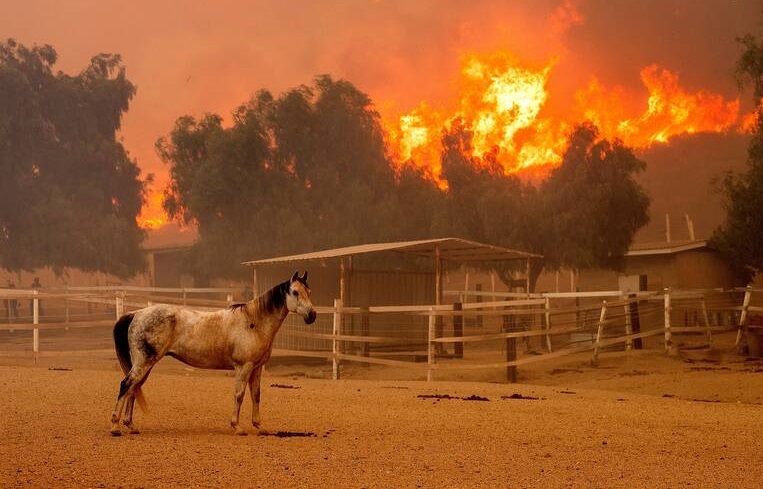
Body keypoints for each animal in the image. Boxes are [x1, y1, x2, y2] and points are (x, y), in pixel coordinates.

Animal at [109, 270, 316, 434]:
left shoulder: (256, 368)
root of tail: (136, 314)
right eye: (295, 292)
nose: (312, 315)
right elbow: (239, 395)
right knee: (126, 385)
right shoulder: (244, 367)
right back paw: (115, 427)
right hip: (143, 363)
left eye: (309, 292)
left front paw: (259, 426)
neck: (253, 322)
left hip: (145, 364)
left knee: (133, 388)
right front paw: (237, 427)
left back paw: (131, 426)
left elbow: (256, 395)